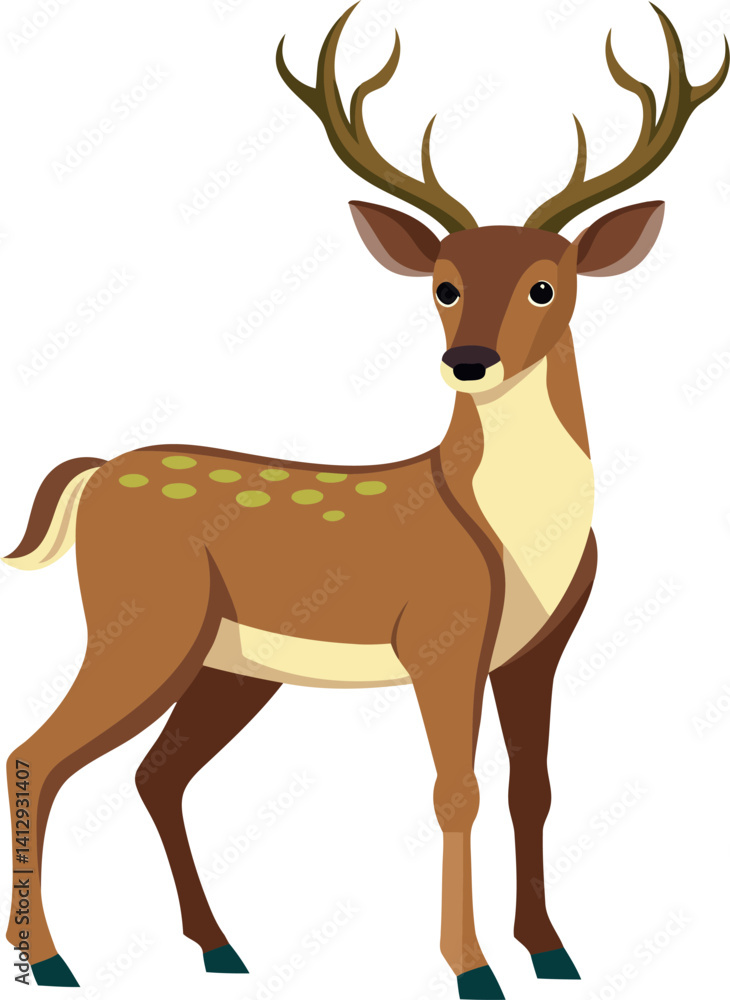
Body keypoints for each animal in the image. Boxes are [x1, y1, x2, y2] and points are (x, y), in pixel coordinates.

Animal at [4, 3, 727, 996]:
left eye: (547, 284)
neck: (513, 534)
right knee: (37, 753)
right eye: (443, 285)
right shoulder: (440, 633)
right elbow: (456, 791)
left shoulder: (539, 648)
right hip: (143, 619)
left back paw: (220, 948)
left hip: (229, 662)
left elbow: (531, 789)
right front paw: (471, 969)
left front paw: (553, 952)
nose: (469, 361)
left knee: (156, 774)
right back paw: (51, 959)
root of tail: (97, 472)